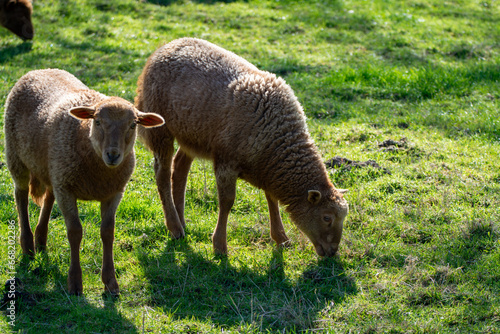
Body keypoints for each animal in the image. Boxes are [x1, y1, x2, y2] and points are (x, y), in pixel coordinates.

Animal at [4, 68, 164, 294]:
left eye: (133, 125)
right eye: (97, 121)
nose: (113, 155)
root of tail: (39, 70)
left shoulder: (113, 192)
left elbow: (107, 232)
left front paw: (111, 283)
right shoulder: (67, 189)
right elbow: (75, 232)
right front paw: (75, 283)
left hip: (53, 170)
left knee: (49, 197)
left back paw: (41, 240)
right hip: (17, 158)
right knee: (21, 197)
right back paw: (27, 247)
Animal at [135, 37, 350, 258]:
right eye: (327, 217)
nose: (332, 252)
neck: (276, 140)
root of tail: (167, 46)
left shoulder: (266, 169)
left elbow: (271, 198)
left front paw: (281, 238)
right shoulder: (226, 163)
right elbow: (227, 202)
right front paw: (220, 246)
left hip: (191, 134)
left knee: (179, 169)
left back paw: (182, 222)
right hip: (161, 129)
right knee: (162, 174)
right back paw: (175, 228)